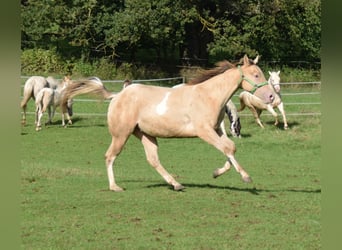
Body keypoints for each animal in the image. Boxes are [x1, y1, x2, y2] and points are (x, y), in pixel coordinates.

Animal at [62, 55, 276, 191]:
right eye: (256, 75)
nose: (272, 96)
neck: (208, 95)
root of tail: (117, 96)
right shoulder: (205, 131)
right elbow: (228, 148)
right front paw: (245, 177)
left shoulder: (216, 130)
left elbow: (229, 147)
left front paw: (216, 173)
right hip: (121, 134)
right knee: (110, 156)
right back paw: (115, 187)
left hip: (145, 134)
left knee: (153, 159)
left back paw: (176, 184)